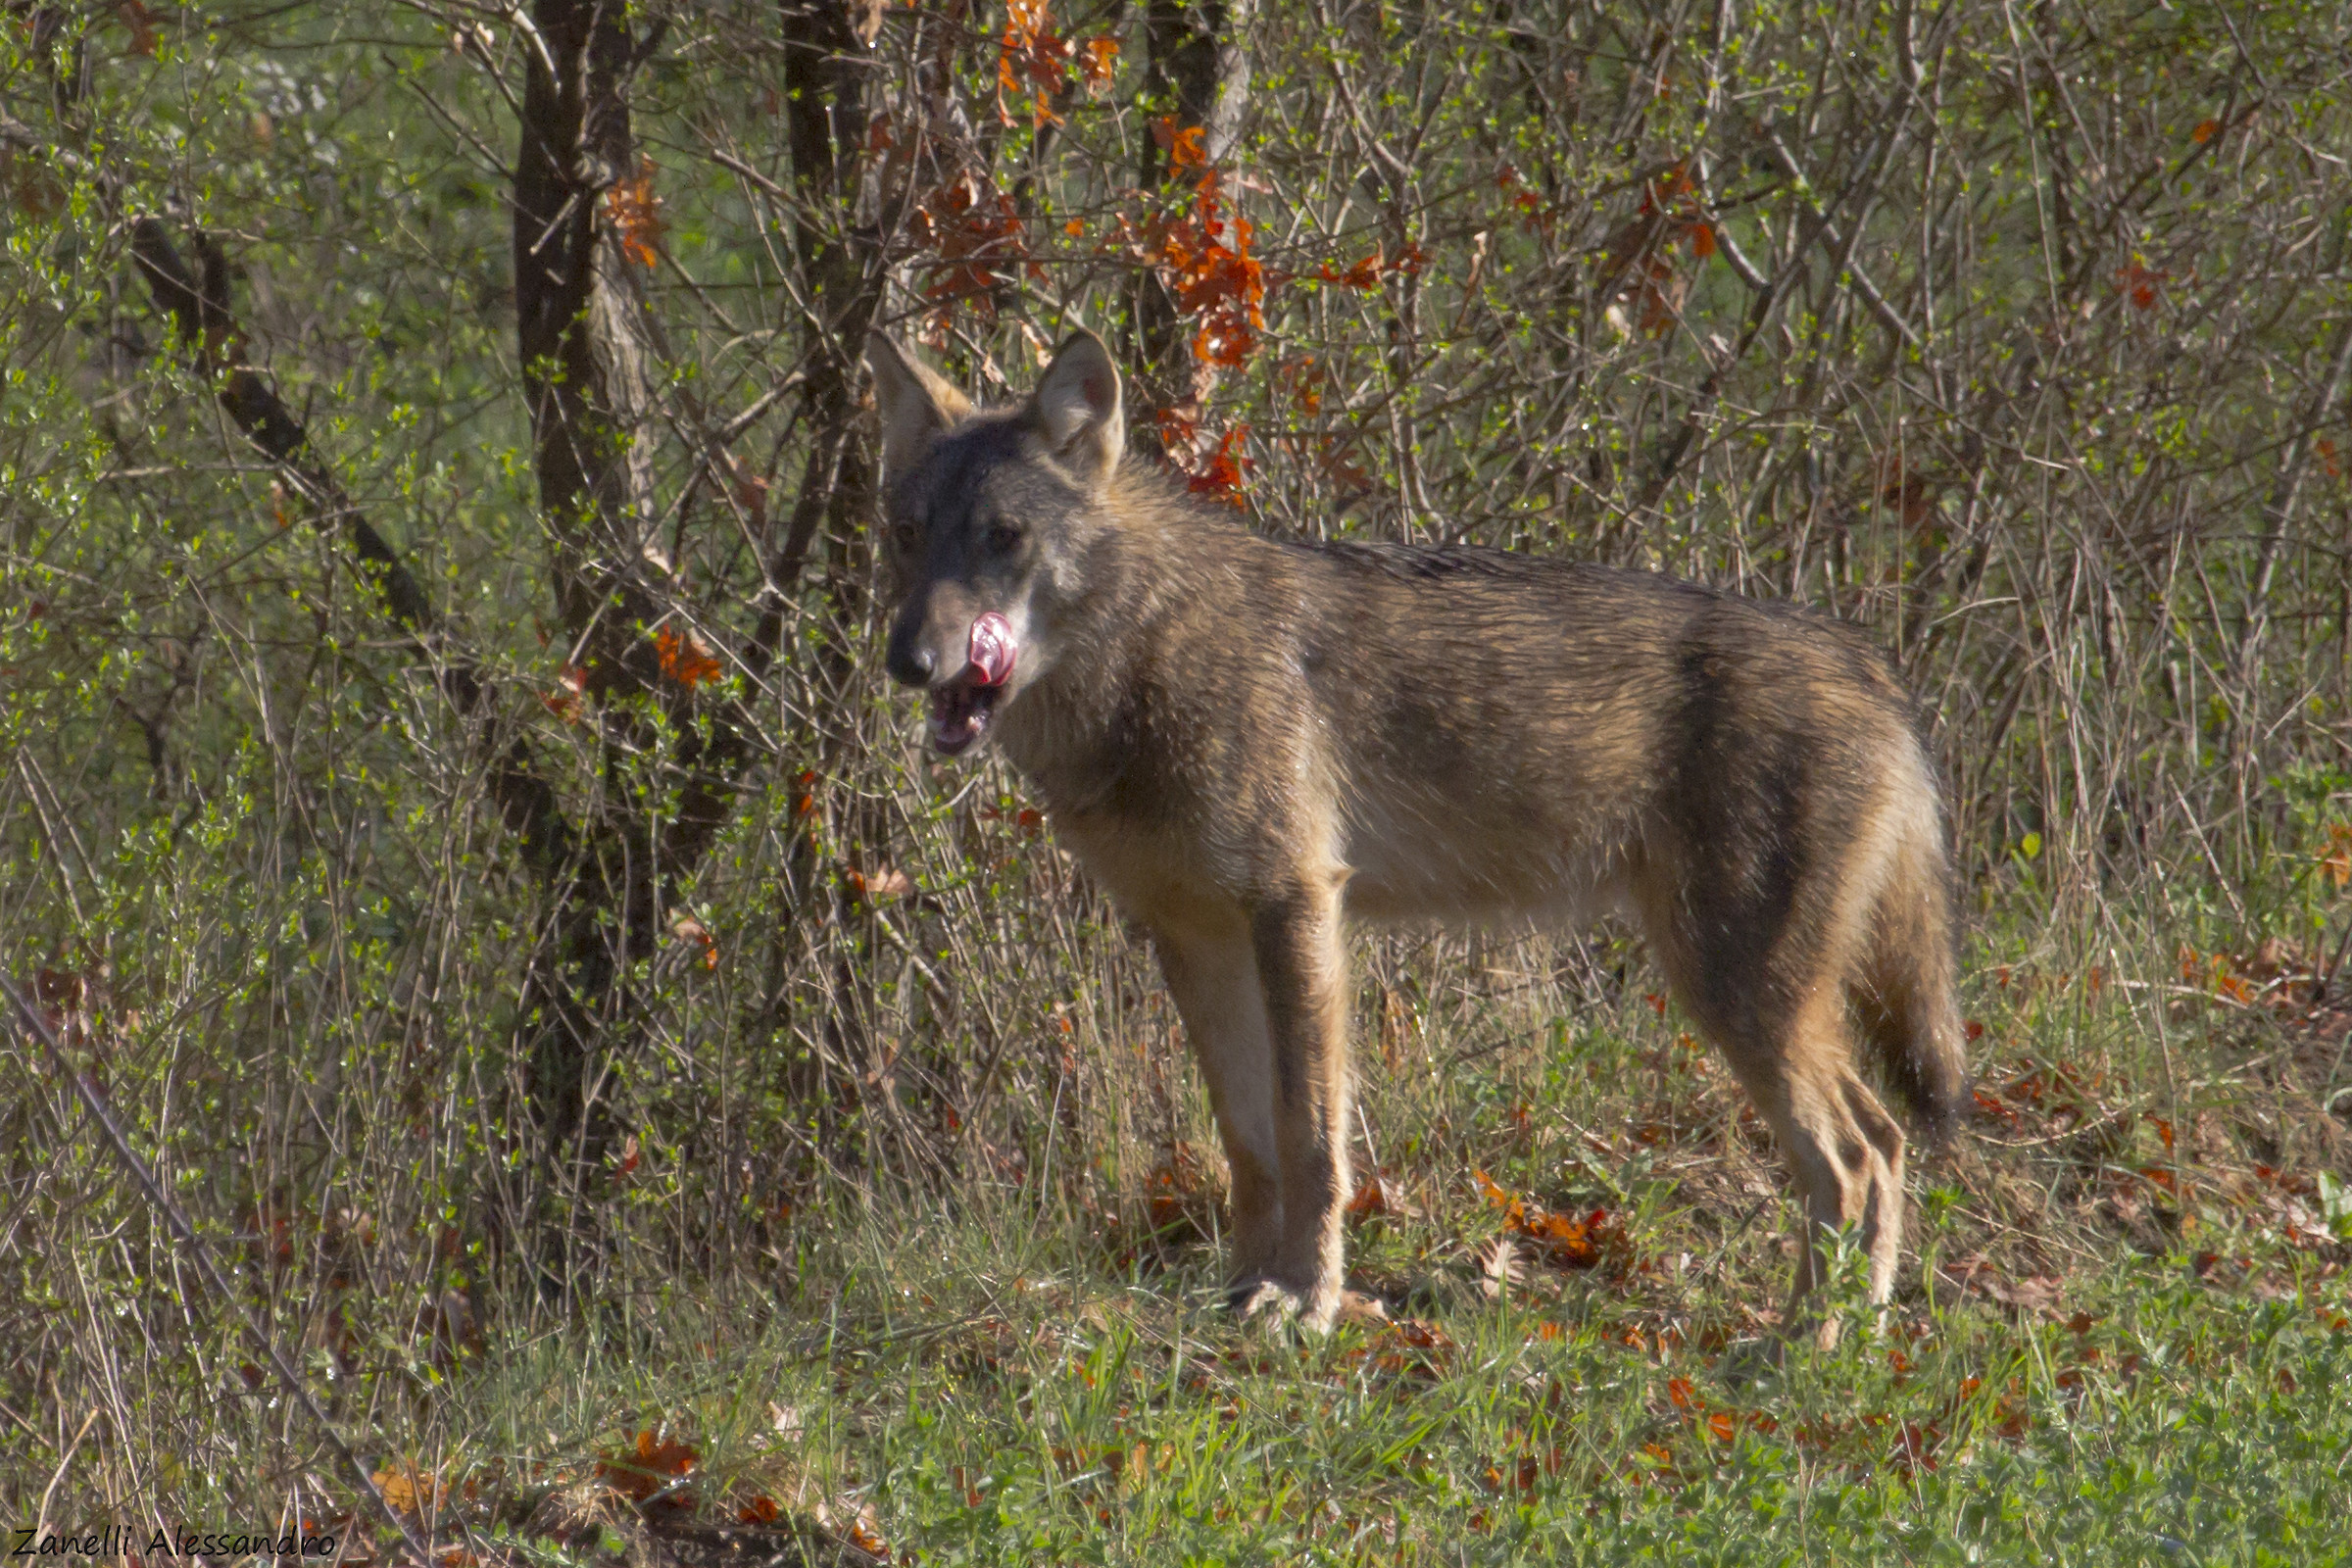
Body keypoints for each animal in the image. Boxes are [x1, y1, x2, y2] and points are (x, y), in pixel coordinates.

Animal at [866, 328, 1968, 1337]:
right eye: (908, 534)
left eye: (1003, 536)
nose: (906, 660)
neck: (1151, 653)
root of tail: (1874, 669)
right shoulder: (1192, 935)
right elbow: (1248, 1143)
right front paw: (1242, 1292)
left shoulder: (1298, 908)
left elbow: (1313, 1139)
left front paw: (1307, 1304)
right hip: (1753, 994)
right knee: (1885, 1141)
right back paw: (1849, 1336)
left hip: (1736, 991)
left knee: (1855, 1158)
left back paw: (1804, 1344)